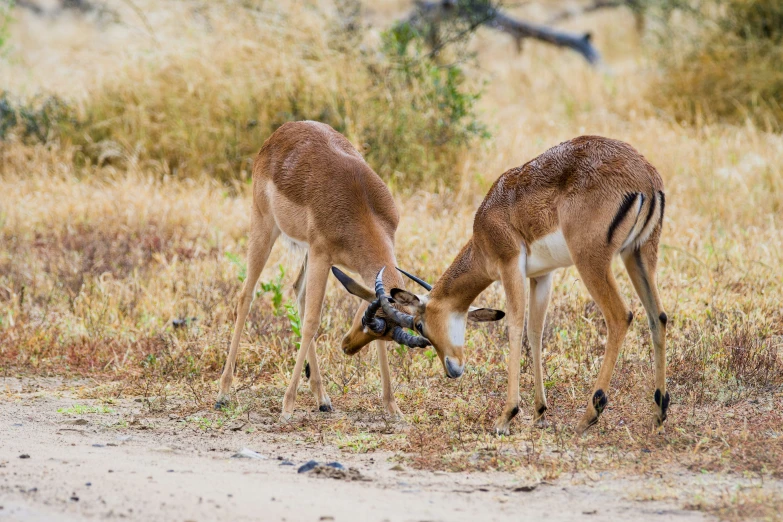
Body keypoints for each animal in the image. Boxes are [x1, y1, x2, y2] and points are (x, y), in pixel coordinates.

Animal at [214, 120, 428, 416]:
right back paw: (223, 394)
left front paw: (392, 406)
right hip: (264, 227)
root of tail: (281, 132)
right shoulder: (321, 255)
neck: (362, 206)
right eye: (366, 323)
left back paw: (323, 398)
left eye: (380, 332)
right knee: (247, 295)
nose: (347, 347)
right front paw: (287, 406)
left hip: (304, 250)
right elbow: (312, 322)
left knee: (297, 291)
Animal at [334, 136, 672, 432]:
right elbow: (535, 332)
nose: (452, 370)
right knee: (658, 316)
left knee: (620, 316)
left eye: (419, 325)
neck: (486, 224)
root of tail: (646, 179)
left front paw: (506, 416)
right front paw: (540, 413)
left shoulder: (510, 266)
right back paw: (658, 412)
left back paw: (589, 415)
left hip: (592, 260)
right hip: (639, 254)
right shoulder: (542, 275)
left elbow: (514, 327)